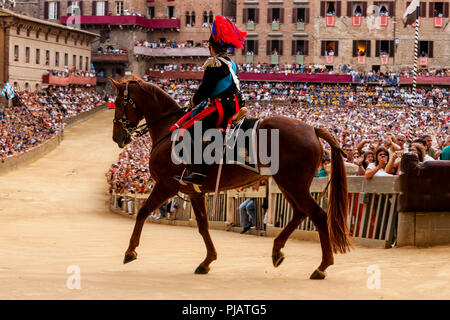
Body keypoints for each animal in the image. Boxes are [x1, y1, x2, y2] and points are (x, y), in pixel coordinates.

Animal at [109, 78, 352, 280]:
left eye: (119, 103)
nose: (117, 137)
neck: (170, 132)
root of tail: (312, 128)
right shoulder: (194, 192)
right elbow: (203, 225)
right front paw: (207, 261)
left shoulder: (166, 185)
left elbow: (142, 212)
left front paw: (130, 251)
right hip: (287, 183)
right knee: (301, 213)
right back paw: (277, 250)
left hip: (294, 184)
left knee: (318, 215)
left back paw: (322, 266)